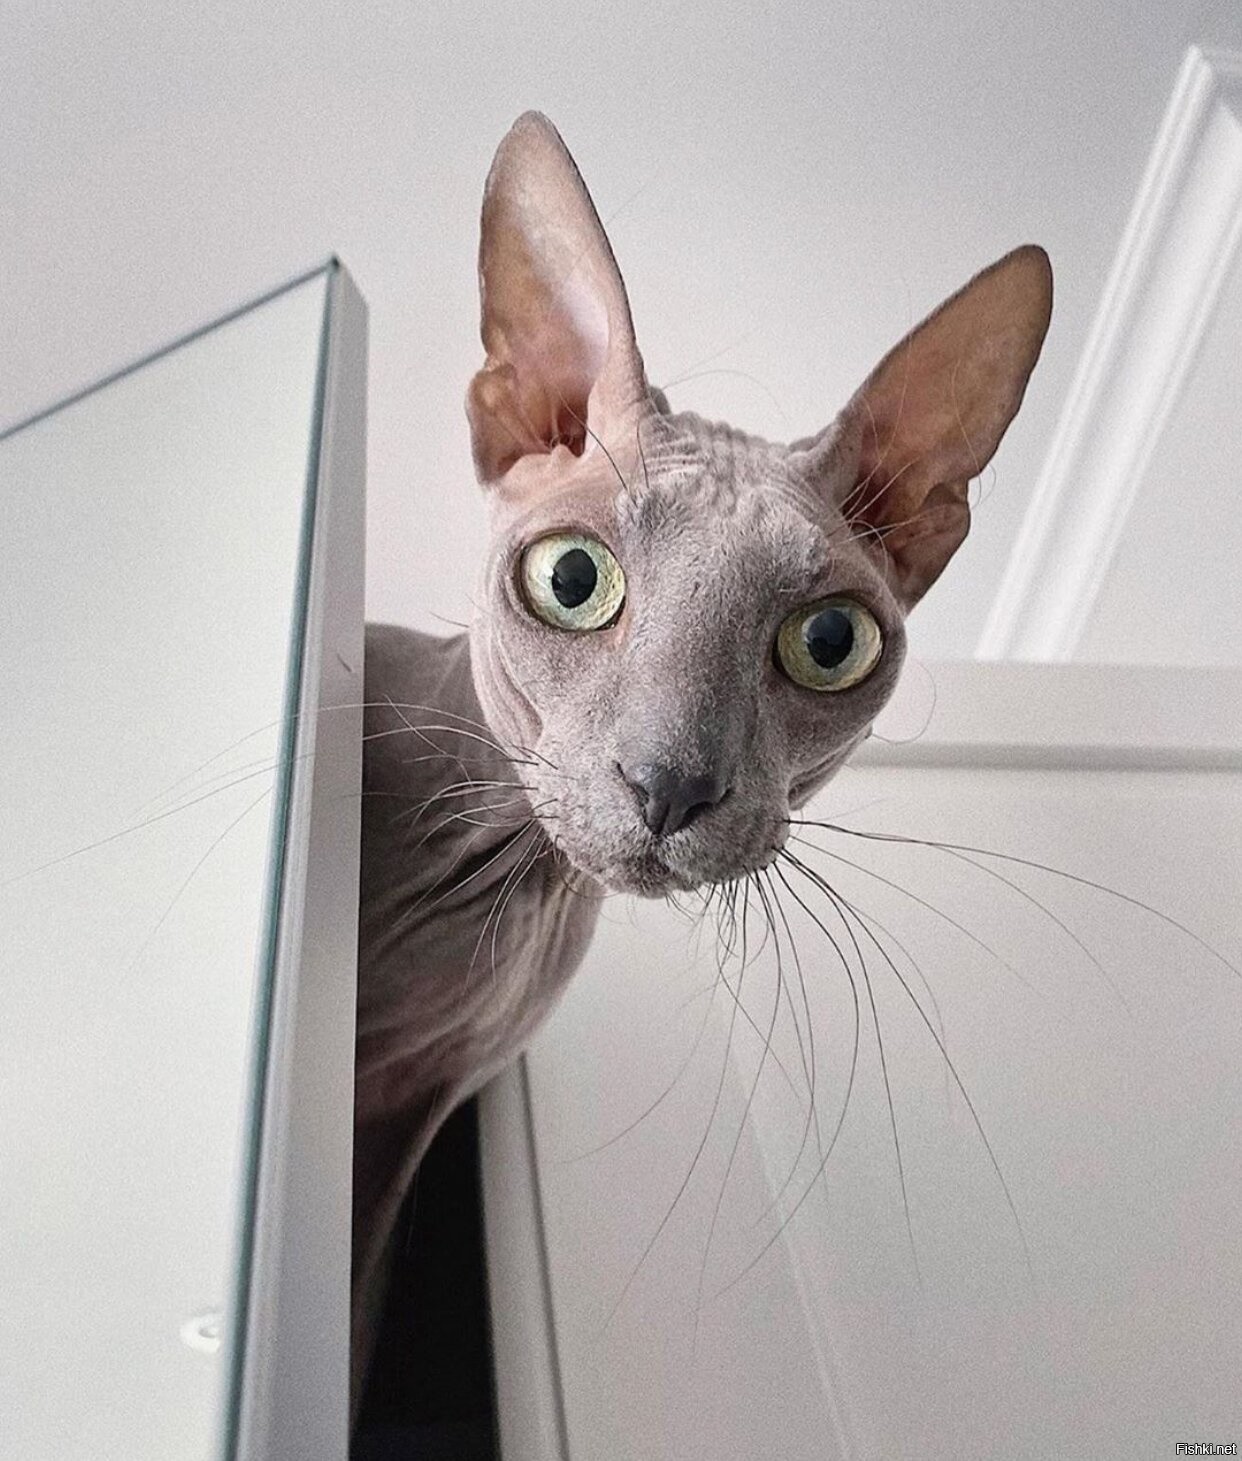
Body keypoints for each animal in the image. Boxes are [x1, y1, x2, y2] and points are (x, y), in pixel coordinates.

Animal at [351, 111, 1052, 1423]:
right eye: (572, 579)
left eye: (830, 643)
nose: (668, 783)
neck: (486, 901)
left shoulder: (405, 1110)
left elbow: (356, 1312)